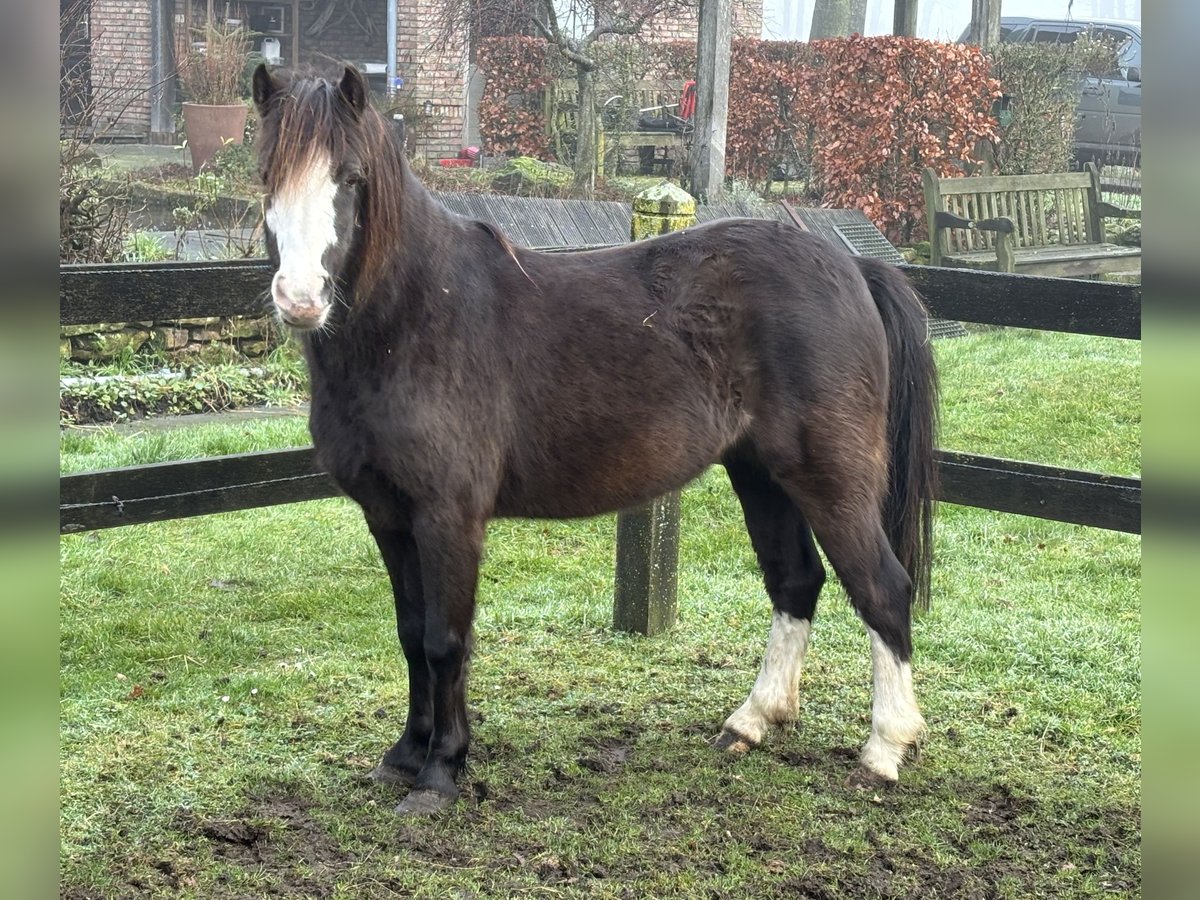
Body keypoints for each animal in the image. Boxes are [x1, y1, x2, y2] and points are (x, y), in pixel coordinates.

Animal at [253, 65, 936, 816]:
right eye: (266, 175)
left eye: (350, 176)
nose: (300, 299)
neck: (414, 319)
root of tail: (853, 268)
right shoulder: (388, 516)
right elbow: (409, 635)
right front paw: (405, 755)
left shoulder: (447, 517)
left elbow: (444, 639)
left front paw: (440, 772)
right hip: (761, 472)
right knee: (796, 581)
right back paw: (751, 722)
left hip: (829, 476)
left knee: (882, 589)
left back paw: (883, 750)